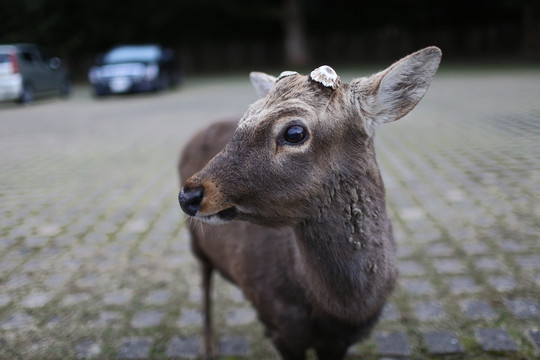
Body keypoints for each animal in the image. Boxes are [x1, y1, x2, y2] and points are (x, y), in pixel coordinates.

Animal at [179, 46, 440, 358]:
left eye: (294, 133)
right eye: (244, 120)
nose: (188, 195)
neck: (343, 311)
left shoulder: (342, 340)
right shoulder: (279, 328)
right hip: (196, 243)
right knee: (204, 279)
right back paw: (207, 344)